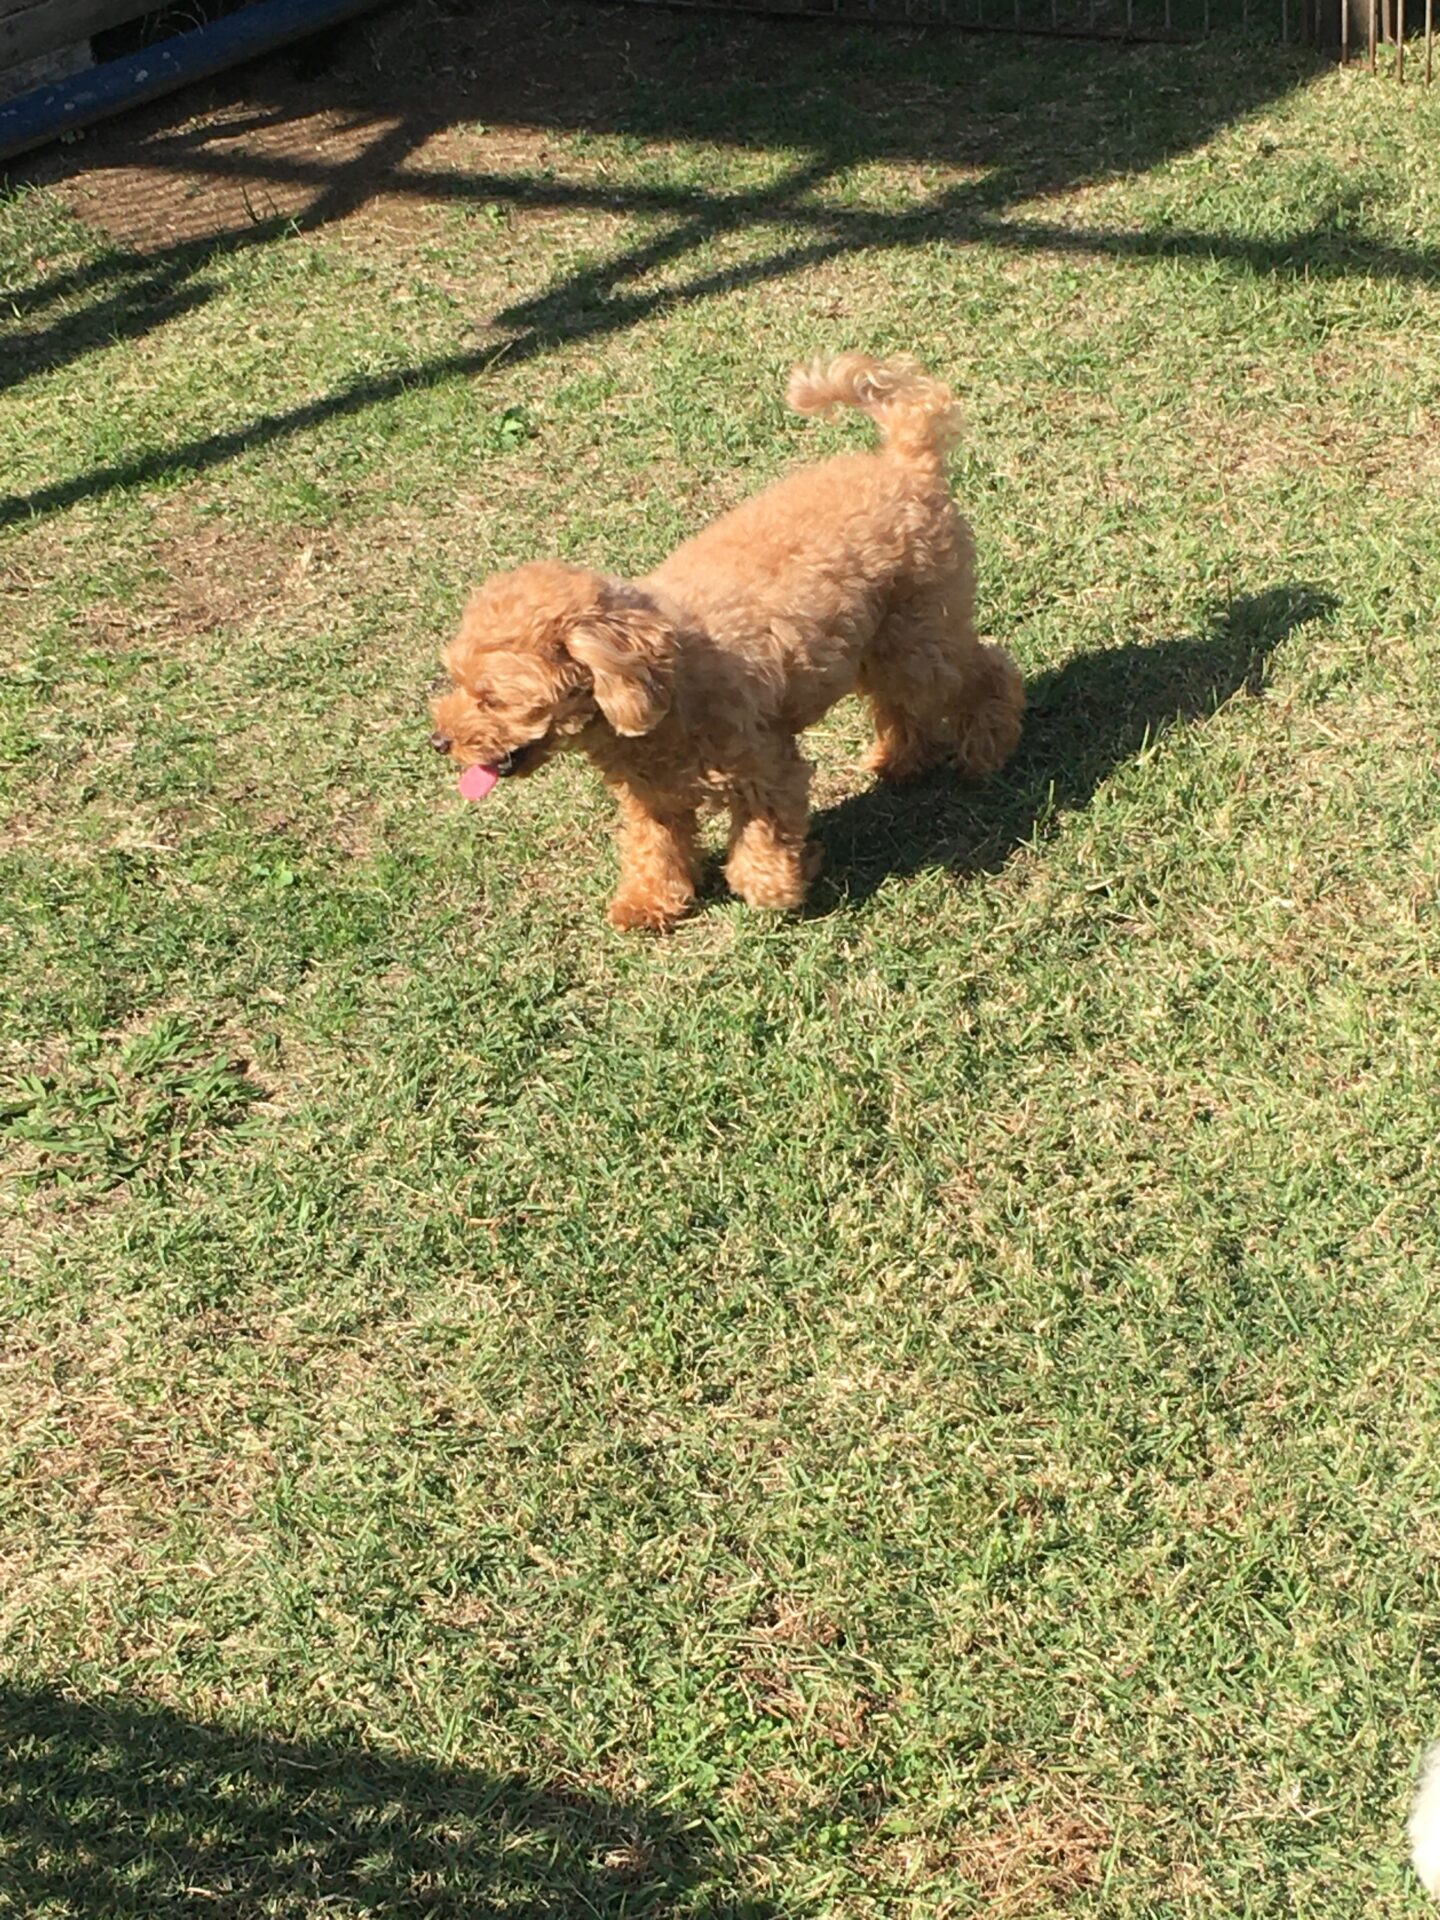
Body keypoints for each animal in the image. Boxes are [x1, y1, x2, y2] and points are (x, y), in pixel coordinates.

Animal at [430, 353, 1024, 930]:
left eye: (491, 698)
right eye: (454, 682)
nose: (439, 742)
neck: (664, 681)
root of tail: (905, 460)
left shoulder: (763, 767)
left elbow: (762, 847)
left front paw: (781, 885)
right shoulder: (652, 796)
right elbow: (653, 848)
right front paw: (645, 904)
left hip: (919, 638)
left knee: (988, 672)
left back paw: (985, 753)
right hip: (881, 643)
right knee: (900, 702)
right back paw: (901, 762)